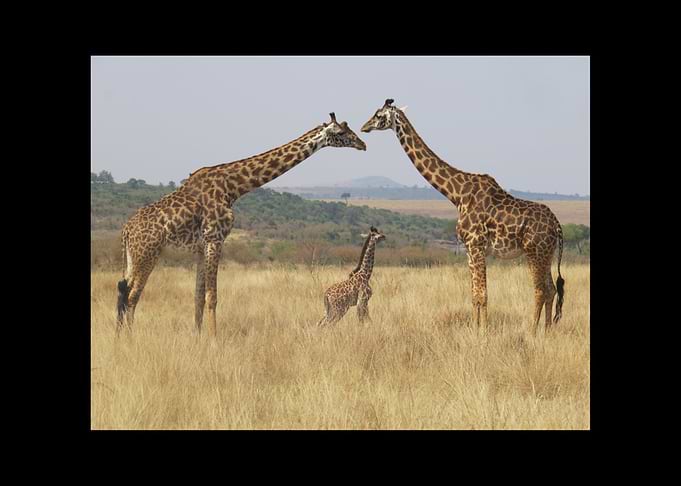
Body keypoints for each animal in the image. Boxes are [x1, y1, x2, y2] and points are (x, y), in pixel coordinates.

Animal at [116, 113, 367, 337]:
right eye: (341, 132)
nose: (362, 144)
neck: (233, 187)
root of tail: (126, 231)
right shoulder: (215, 239)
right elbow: (212, 297)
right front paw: (214, 341)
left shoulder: (200, 247)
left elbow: (197, 297)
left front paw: (197, 338)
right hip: (148, 255)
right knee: (132, 296)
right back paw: (130, 338)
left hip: (132, 257)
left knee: (123, 291)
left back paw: (120, 337)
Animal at [361, 99, 565, 333]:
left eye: (378, 115)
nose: (364, 127)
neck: (457, 195)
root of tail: (557, 225)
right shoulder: (468, 248)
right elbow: (474, 294)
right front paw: (475, 329)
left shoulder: (476, 245)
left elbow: (483, 294)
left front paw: (484, 332)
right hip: (546, 253)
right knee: (551, 289)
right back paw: (547, 331)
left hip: (534, 252)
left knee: (540, 290)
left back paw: (532, 331)